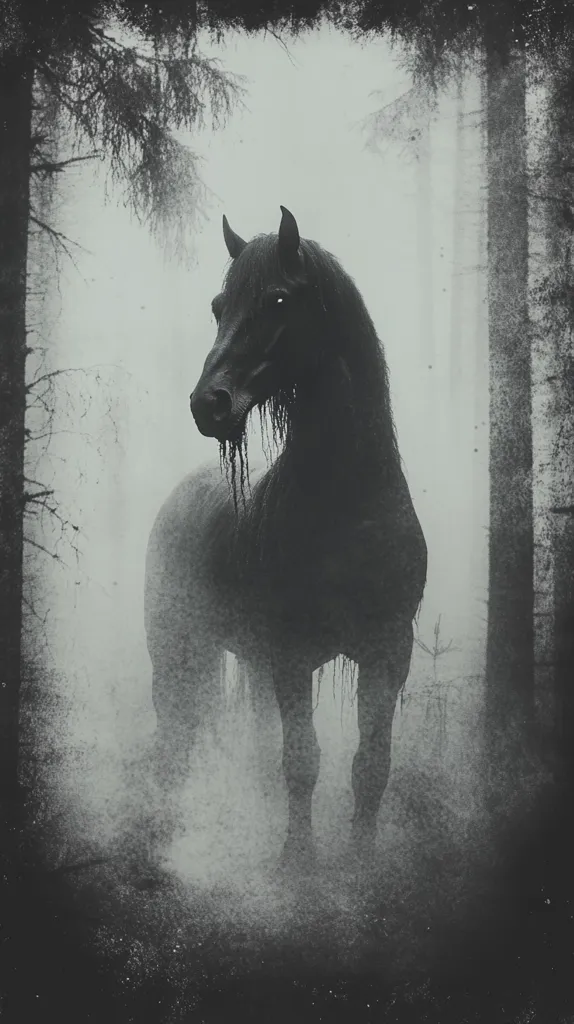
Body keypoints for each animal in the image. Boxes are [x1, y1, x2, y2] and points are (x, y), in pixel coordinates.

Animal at [143, 206, 427, 875]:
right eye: (219, 306)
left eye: (276, 299)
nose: (209, 404)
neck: (349, 504)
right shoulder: (293, 655)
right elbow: (302, 761)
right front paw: (298, 864)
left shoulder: (387, 651)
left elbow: (370, 766)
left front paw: (360, 864)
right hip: (177, 649)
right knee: (173, 742)